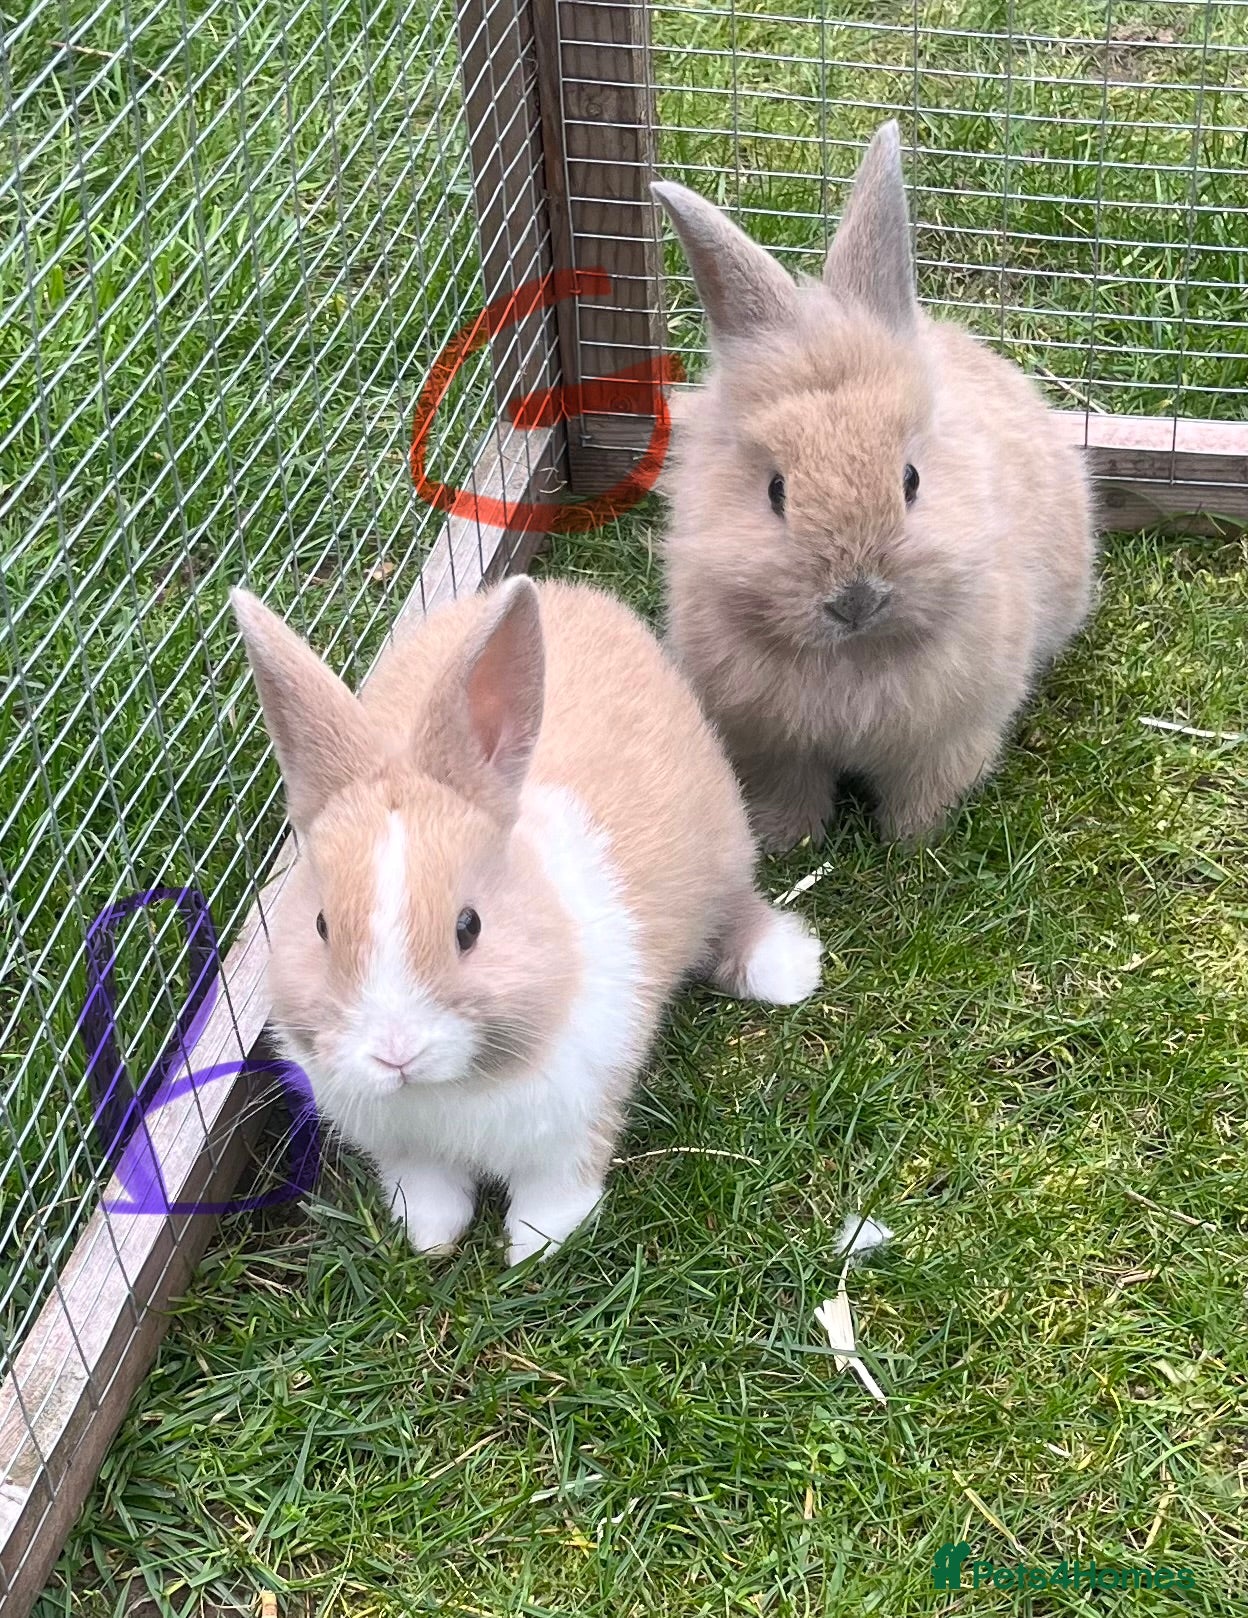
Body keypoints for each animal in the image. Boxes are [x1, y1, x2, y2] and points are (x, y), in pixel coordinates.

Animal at [230, 575, 822, 1265]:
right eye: (322, 926)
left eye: (469, 926)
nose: (396, 1053)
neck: (453, 1086)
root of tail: (574, 593)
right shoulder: (407, 1150)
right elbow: (428, 1190)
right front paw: (432, 1240)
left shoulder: (576, 1124)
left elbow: (555, 1191)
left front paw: (533, 1249)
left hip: (722, 844)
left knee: (735, 906)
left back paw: (786, 971)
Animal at [651, 120, 1096, 850]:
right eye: (776, 492)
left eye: (911, 480)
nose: (855, 600)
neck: (854, 658)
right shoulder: (769, 749)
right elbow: (788, 795)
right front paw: (790, 843)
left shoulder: (947, 737)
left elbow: (924, 793)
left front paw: (911, 845)